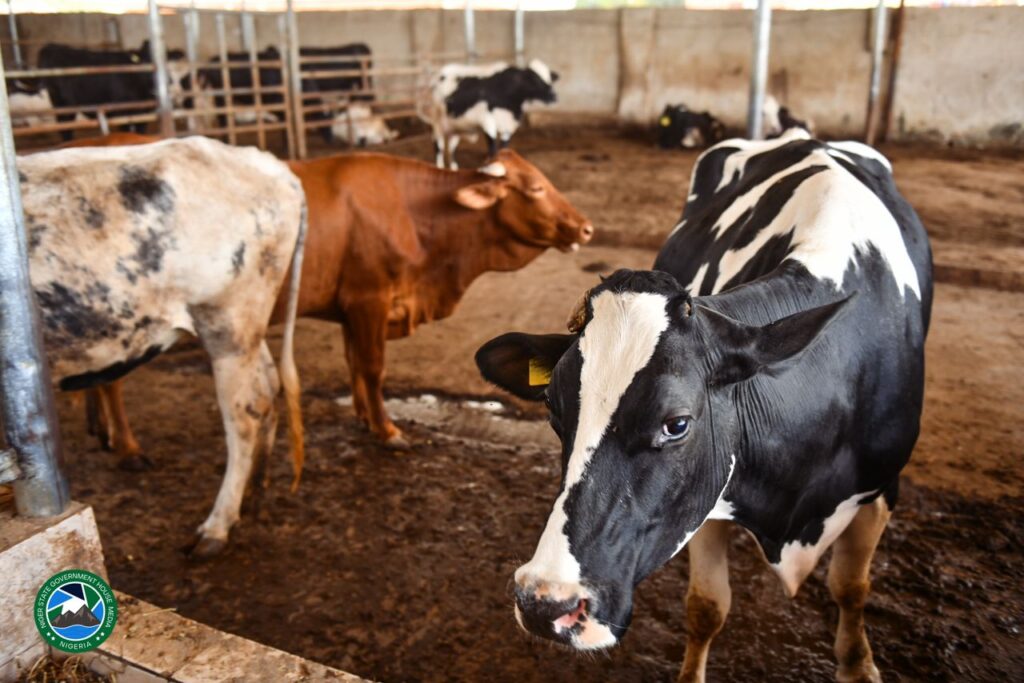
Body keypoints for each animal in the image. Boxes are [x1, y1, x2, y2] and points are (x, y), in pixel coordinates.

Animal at [20, 136, 308, 558]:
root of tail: (262, 160)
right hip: (241, 330)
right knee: (269, 389)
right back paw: (255, 490)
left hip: (229, 325)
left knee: (245, 415)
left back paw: (217, 526)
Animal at [37, 41, 186, 141]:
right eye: (144, 61)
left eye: (167, 59)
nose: (168, 81)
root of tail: (52, 46)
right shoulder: (121, 114)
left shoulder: (144, 114)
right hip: (61, 105)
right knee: (65, 130)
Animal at [76, 142, 592, 456]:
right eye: (535, 187)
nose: (586, 228)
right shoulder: (369, 301)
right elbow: (372, 366)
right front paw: (387, 430)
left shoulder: (352, 308)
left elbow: (352, 363)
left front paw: (364, 417)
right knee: (110, 381)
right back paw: (125, 444)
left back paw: (100, 430)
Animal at [424, 59, 558, 169]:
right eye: (534, 79)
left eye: (550, 79)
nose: (554, 96)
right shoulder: (488, 122)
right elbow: (492, 150)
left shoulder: (507, 126)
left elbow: (504, 148)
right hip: (436, 122)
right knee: (438, 147)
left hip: (454, 126)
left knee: (451, 149)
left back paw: (454, 169)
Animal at [474, 129, 932, 682]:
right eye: (553, 410)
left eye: (677, 424)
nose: (545, 602)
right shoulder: (707, 503)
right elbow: (707, 607)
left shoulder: (884, 486)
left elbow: (851, 586)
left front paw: (858, 663)